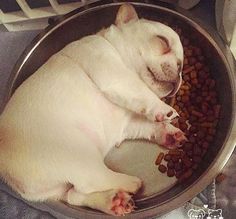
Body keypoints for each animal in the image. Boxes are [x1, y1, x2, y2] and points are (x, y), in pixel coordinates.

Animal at [0, 3, 184, 216]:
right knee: (91, 181)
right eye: (162, 42)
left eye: (183, 66)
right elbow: (141, 90)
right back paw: (130, 183)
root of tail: (10, 176)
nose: (180, 71)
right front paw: (164, 108)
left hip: (62, 185)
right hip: (78, 153)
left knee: (75, 194)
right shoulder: (116, 75)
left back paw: (113, 201)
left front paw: (167, 133)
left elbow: (147, 126)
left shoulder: (127, 124)